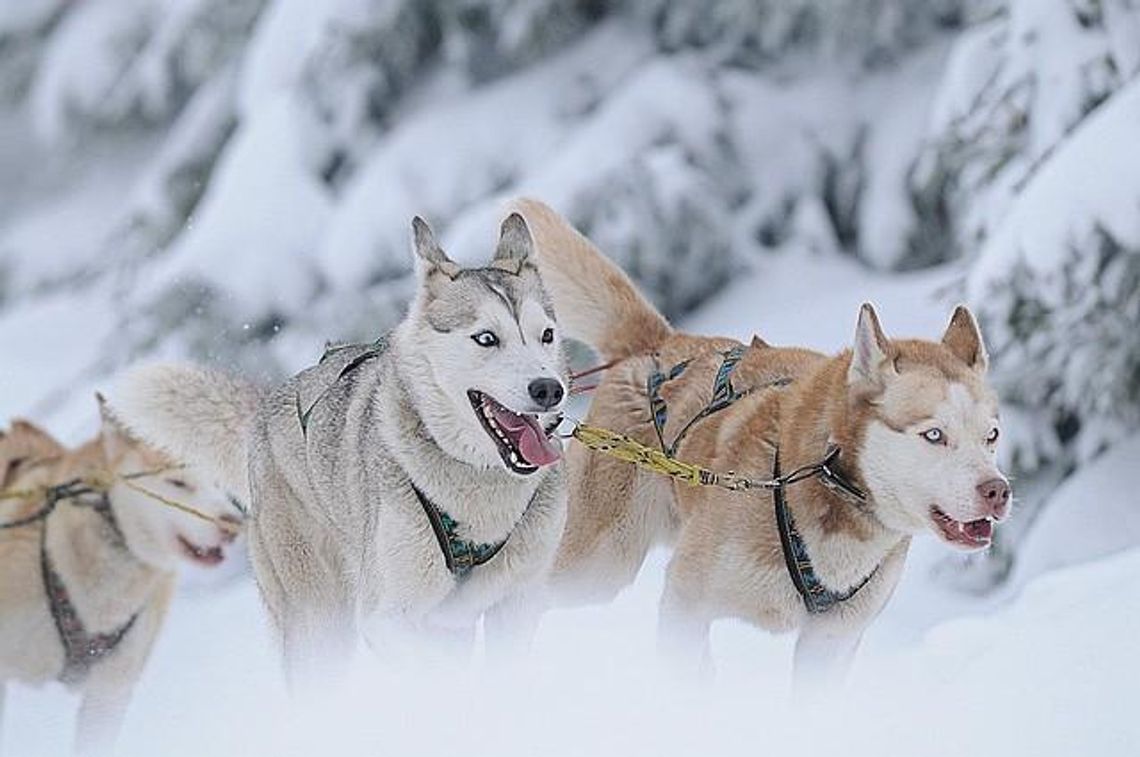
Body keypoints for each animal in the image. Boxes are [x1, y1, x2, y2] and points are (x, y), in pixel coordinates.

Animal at [115, 213, 570, 679]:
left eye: (547, 335)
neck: (479, 491)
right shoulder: (387, 618)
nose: (549, 389)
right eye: (486, 338)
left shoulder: (516, 603)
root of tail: (268, 406)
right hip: (319, 628)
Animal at [513, 198, 1012, 684]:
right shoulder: (685, 598)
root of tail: (658, 345)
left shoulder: (830, 643)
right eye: (934, 434)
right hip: (595, 566)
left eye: (992, 435)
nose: (998, 491)